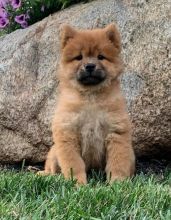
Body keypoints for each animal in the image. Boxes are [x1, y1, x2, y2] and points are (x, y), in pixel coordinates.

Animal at [39, 23, 136, 184]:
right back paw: (45, 175)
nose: (90, 66)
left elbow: (117, 163)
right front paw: (78, 184)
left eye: (101, 57)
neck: (91, 97)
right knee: (51, 168)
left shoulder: (116, 133)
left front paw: (117, 183)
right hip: (54, 151)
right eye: (79, 57)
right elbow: (74, 164)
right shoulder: (68, 133)